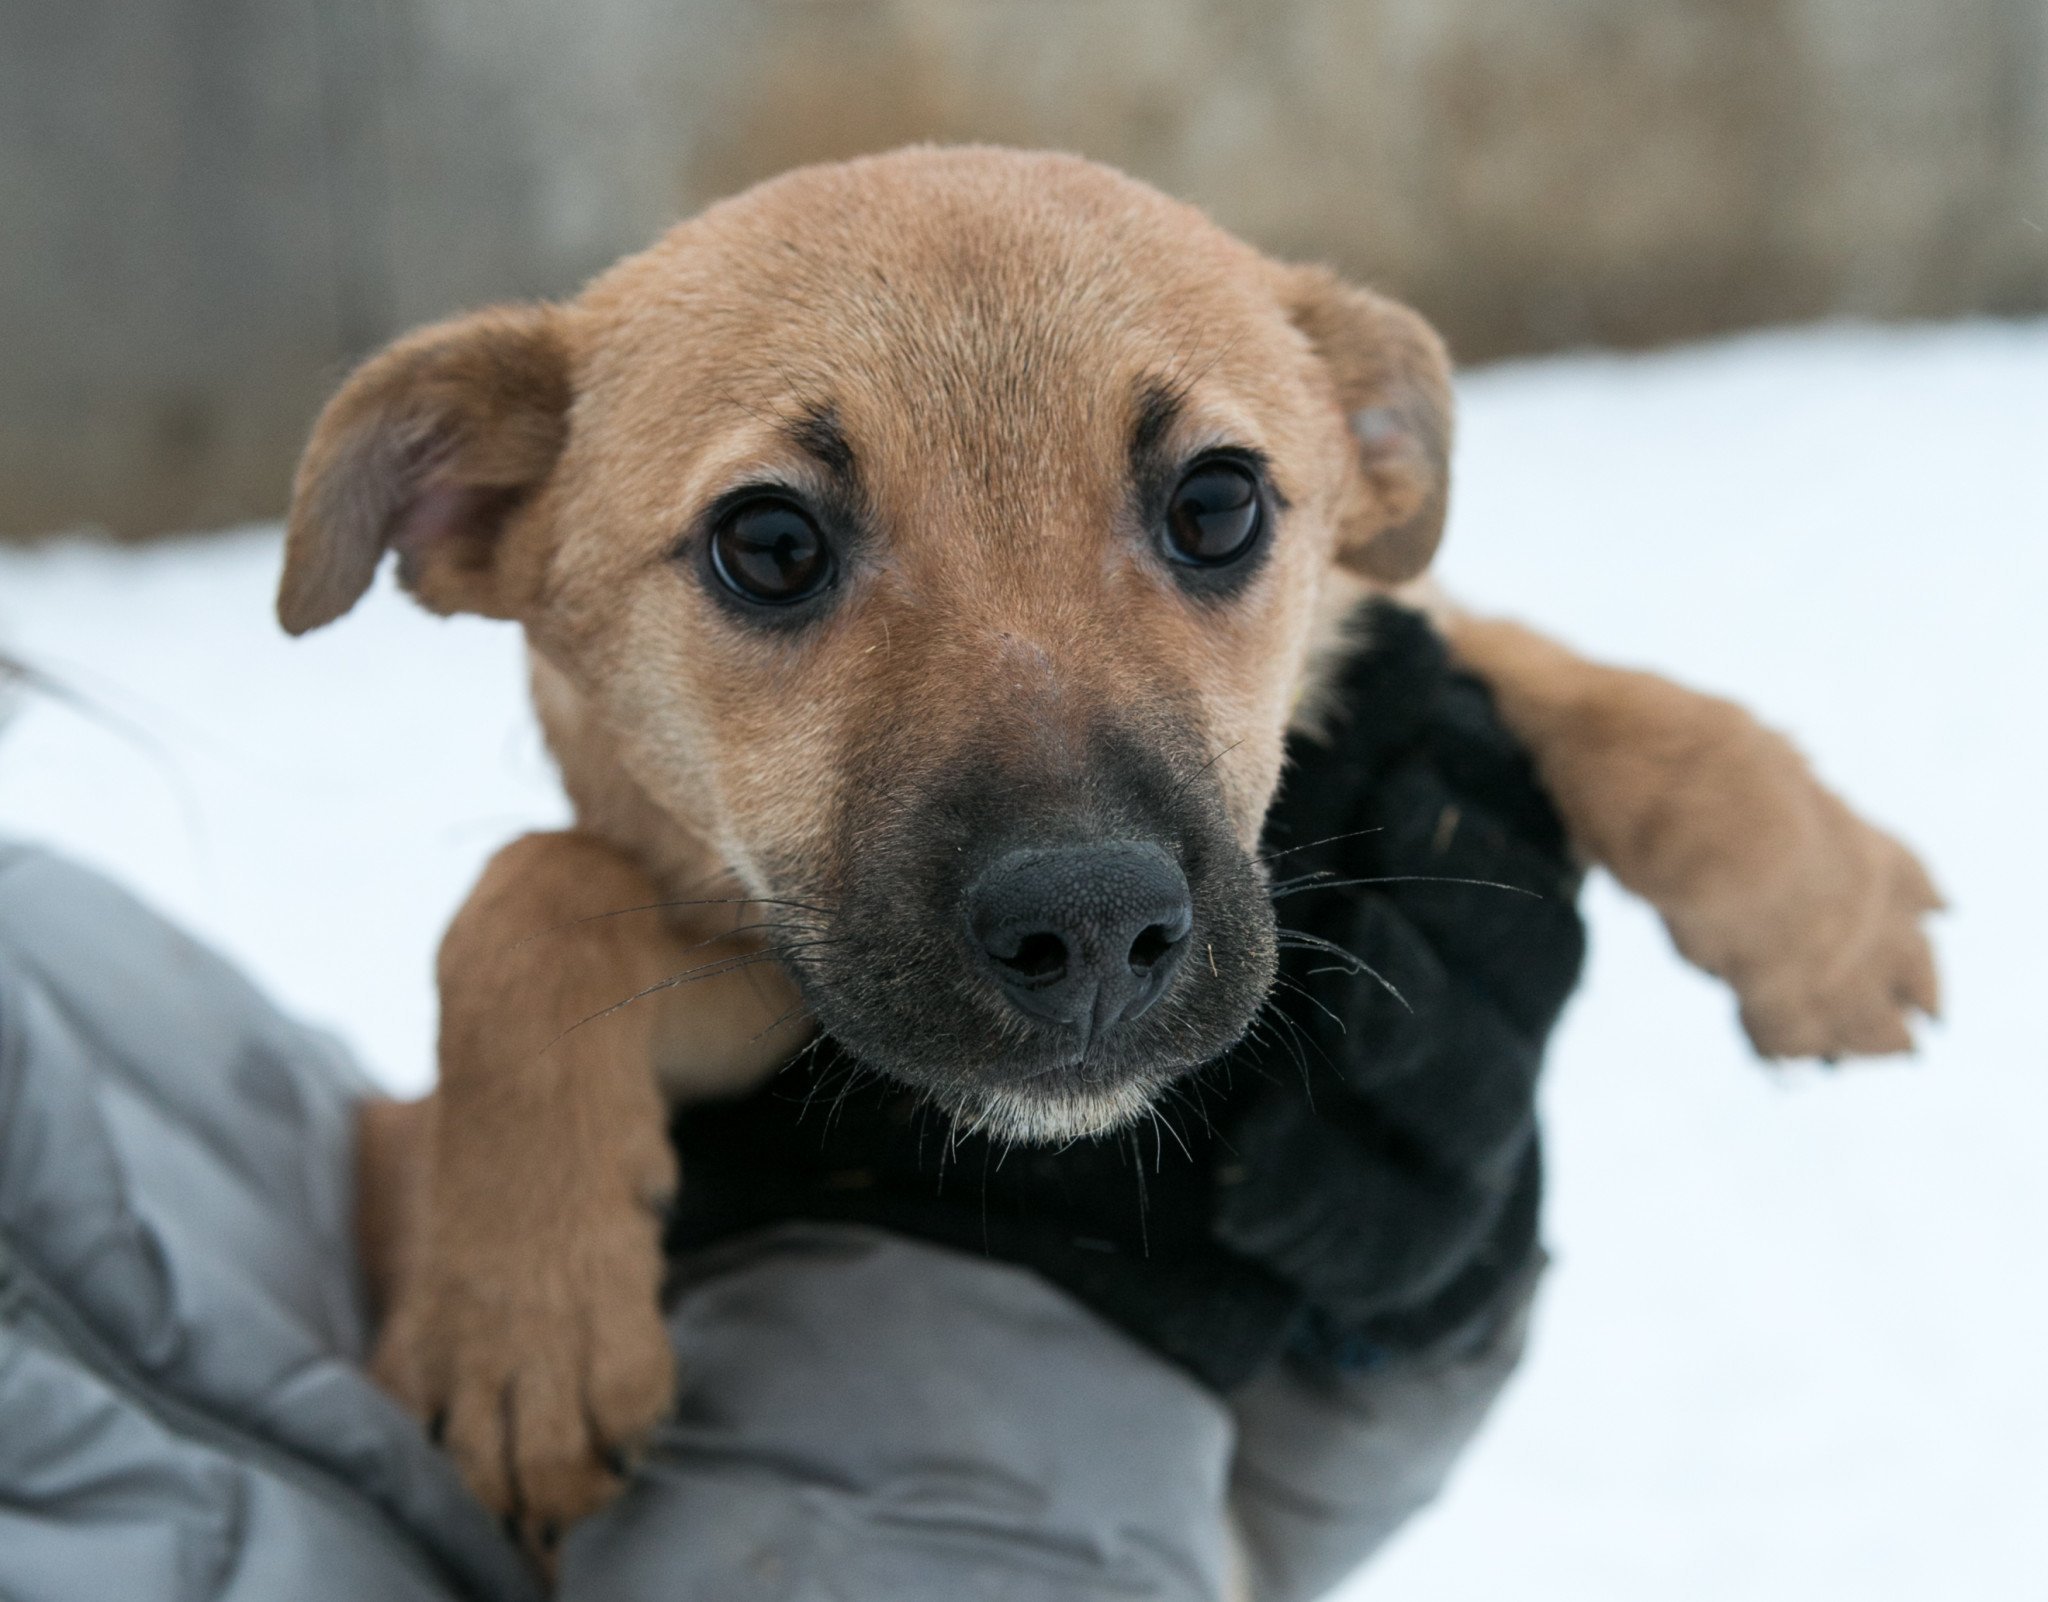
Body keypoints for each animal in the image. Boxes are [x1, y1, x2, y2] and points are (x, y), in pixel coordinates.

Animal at [280, 150, 1941, 1556]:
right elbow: (531, 888)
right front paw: (519, 1313)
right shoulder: (769, 971)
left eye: (1217, 502)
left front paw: (1820, 900)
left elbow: (1530, 656)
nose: (1088, 931)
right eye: (770, 543)